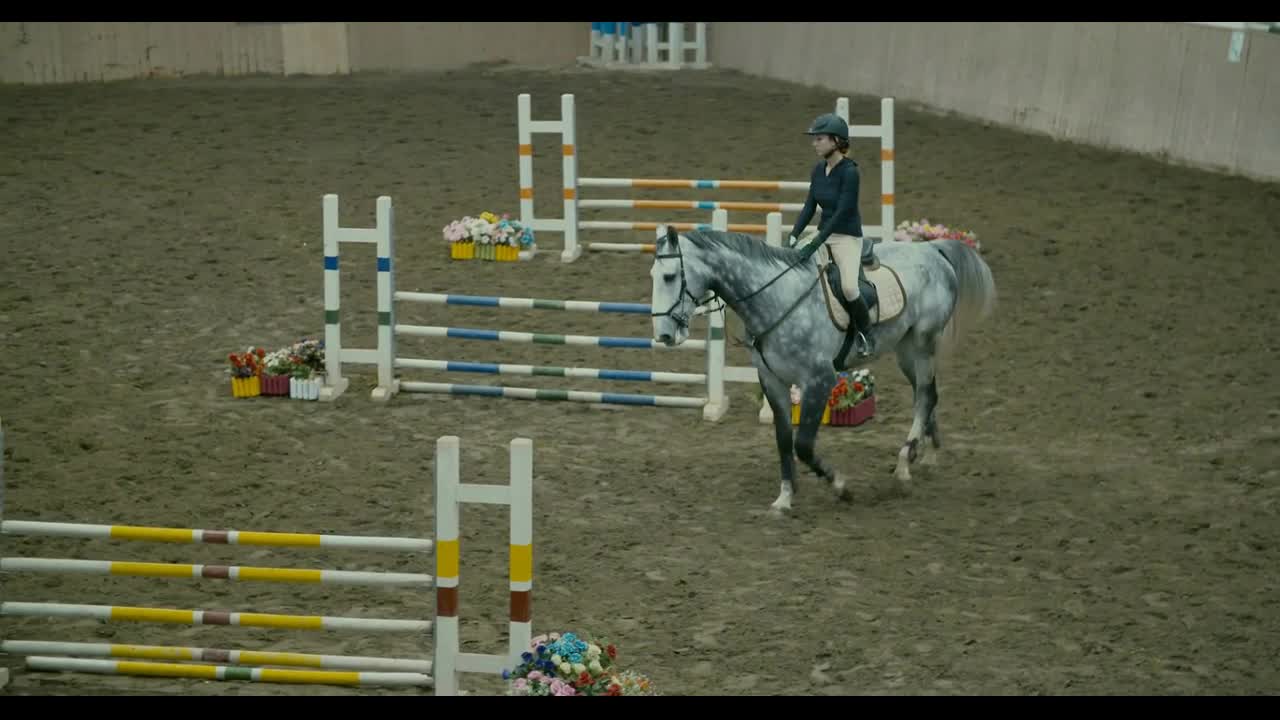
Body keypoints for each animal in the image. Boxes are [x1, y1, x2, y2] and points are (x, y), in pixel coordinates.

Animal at [650, 226, 998, 512]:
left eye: (669, 276)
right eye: (653, 275)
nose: (664, 335)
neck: (775, 298)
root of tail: (932, 249)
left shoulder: (819, 380)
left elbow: (803, 444)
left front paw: (840, 486)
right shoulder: (772, 381)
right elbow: (783, 440)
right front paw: (785, 497)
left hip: (922, 344)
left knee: (925, 396)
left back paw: (903, 467)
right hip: (905, 350)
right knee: (927, 395)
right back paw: (926, 455)